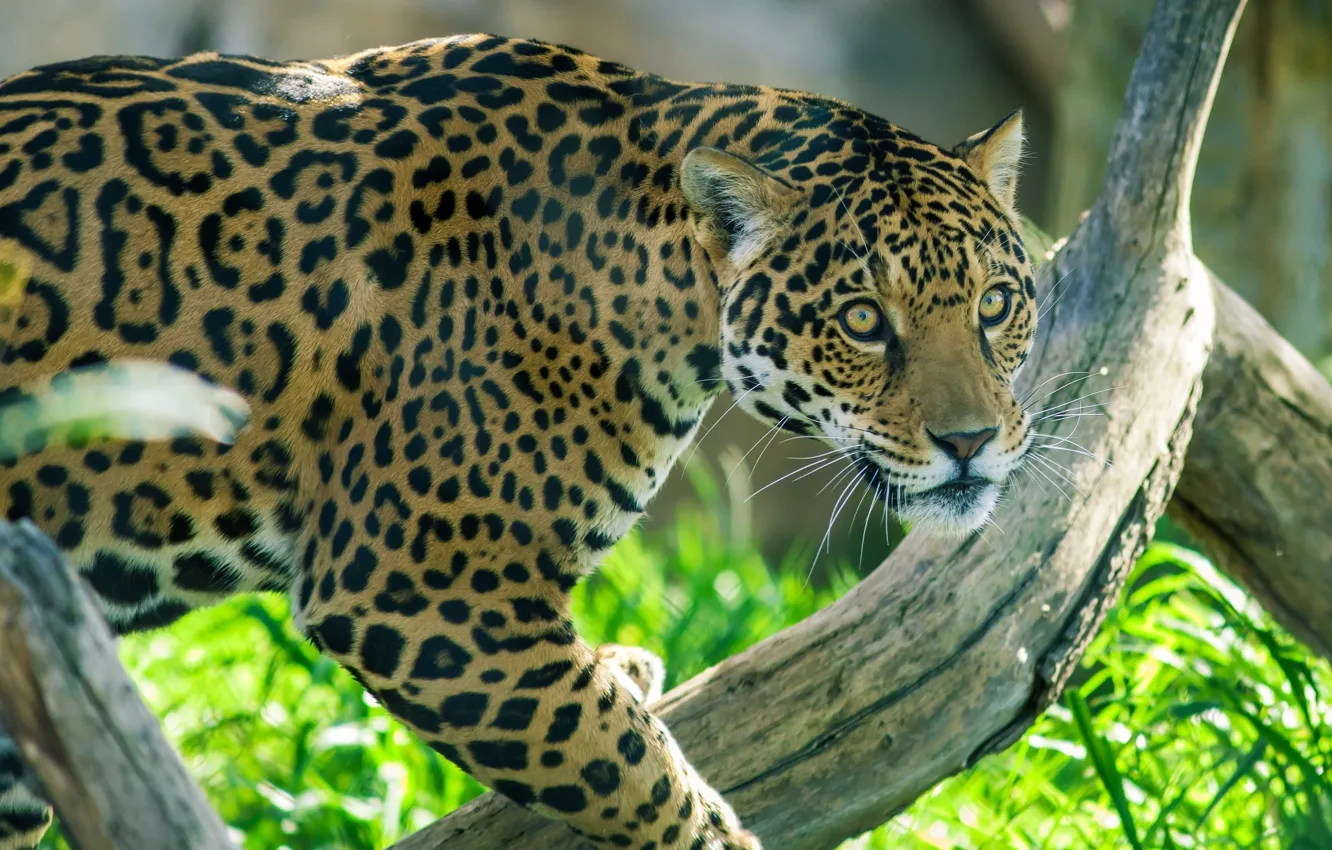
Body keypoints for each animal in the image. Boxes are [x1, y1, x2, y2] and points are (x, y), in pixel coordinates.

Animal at [0, 32, 1036, 850]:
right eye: (862, 320)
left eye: (995, 305)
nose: (973, 441)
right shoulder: (422, 592)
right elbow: (626, 767)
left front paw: (623, 668)